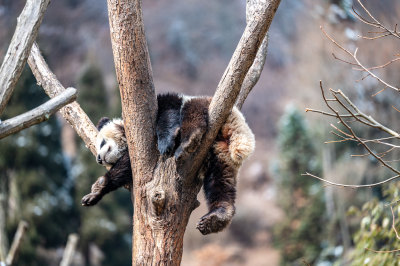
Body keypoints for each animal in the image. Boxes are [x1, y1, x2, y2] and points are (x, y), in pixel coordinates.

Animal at [81, 92, 255, 234]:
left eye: (102, 143)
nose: (98, 159)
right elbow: (125, 168)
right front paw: (96, 192)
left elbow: (167, 109)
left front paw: (165, 143)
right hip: (220, 154)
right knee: (219, 182)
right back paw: (217, 218)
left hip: (209, 106)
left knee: (193, 112)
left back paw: (187, 142)